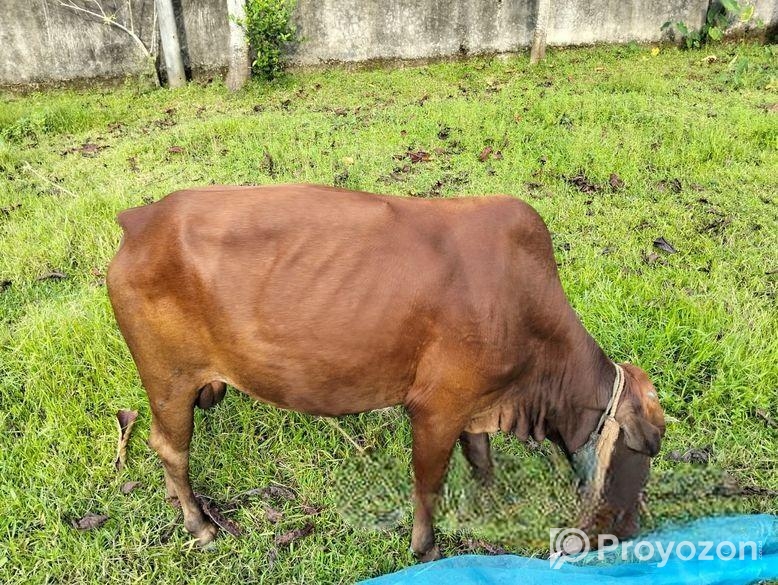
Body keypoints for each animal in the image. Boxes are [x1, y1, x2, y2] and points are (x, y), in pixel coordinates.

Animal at [106, 184, 665, 560]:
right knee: (169, 447)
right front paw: (426, 549)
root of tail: (141, 219)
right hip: (169, 380)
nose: (629, 532)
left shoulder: (474, 405)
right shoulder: (436, 409)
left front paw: (490, 500)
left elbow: (481, 458)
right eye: (648, 448)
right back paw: (198, 524)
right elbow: (429, 483)